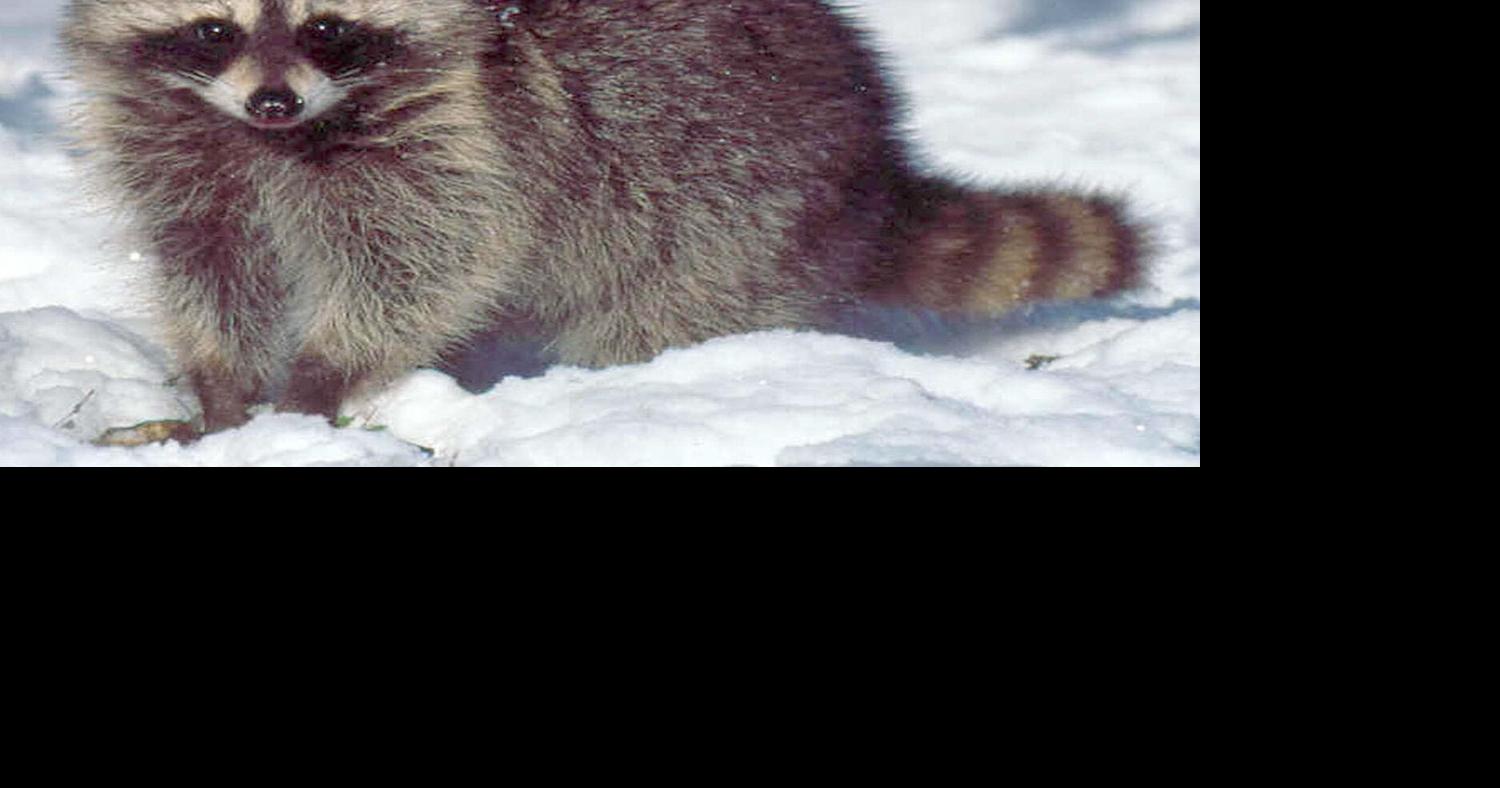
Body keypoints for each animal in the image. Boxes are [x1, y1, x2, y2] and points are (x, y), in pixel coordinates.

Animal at [61, 0, 1145, 433]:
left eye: (328, 27)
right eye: (215, 29)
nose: (276, 101)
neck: (274, 140)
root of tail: (868, 167)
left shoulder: (471, 136)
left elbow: (429, 259)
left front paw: (322, 373)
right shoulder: (179, 149)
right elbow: (206, 258)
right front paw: (221, 383)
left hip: (730, 205)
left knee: (651, 306)